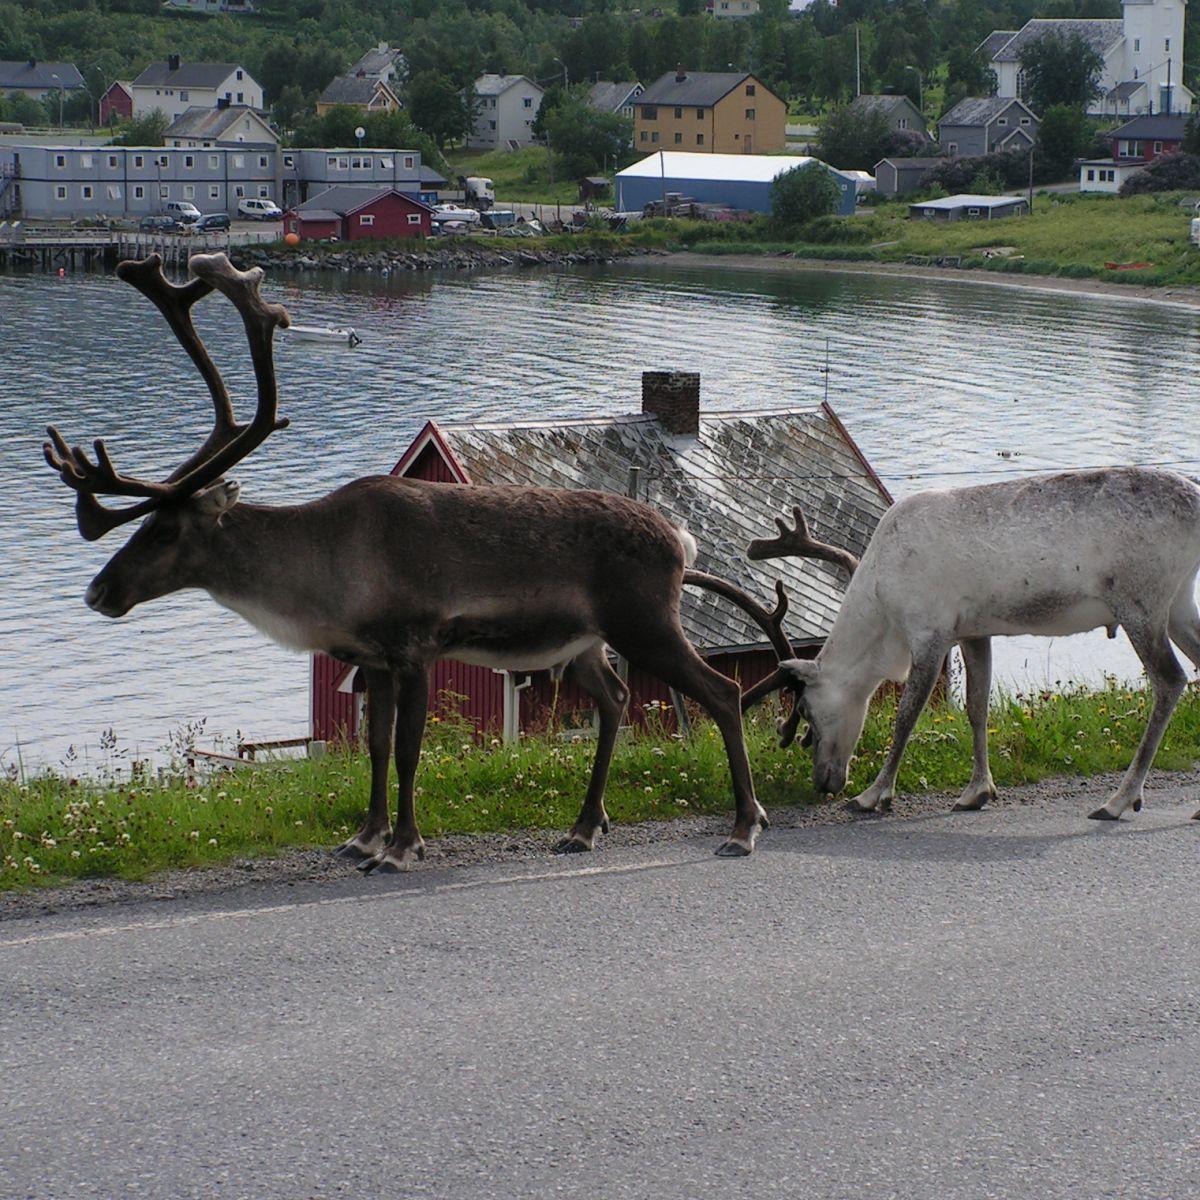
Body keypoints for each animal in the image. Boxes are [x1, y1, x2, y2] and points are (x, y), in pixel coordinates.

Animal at [42, 252, 796, 871]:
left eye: (167, 529)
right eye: (142, 523)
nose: (99, 592)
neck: (323, 577)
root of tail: (680, 538)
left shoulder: (416, 646)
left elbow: (408, 750)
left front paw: (404, 845)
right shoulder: (371, 658)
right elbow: (375, 747)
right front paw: (362, 838)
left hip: (645, 621)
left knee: (720, 693)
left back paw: (743, 826)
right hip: (585, 641)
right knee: (614, 701)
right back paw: (585, 827)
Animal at [746, 470, 1200, 823]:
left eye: (805, 710)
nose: (823, 781)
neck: (882, 611)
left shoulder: (928, 630)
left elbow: (906, 717)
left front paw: (873, 795)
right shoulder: (972, 632)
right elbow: (976, 707)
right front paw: (976, 792)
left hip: (1140, 602)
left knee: (1170, 680)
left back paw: (1119, 800)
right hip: (1178, 604)